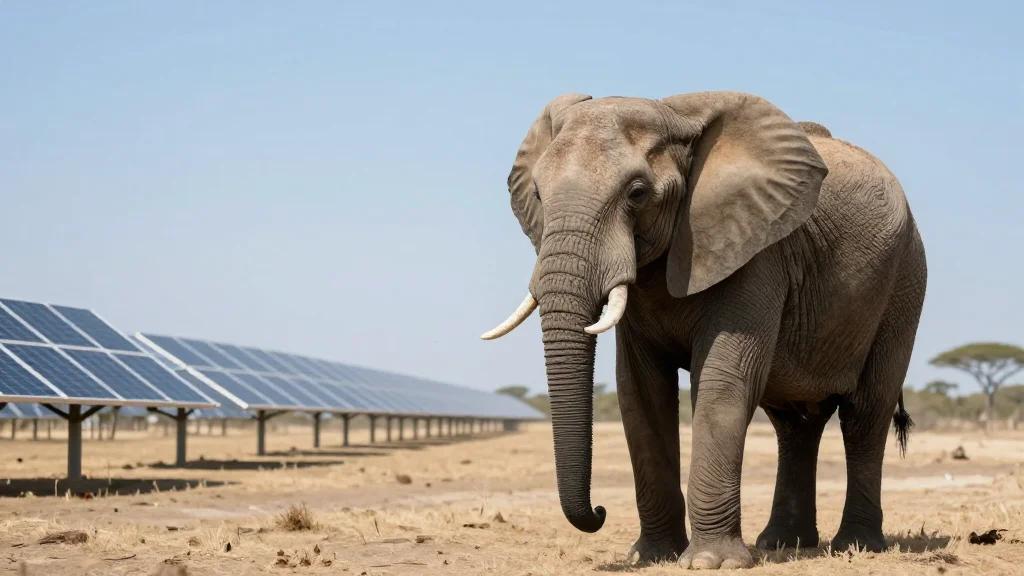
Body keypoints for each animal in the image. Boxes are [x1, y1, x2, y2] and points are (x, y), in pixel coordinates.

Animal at [482, 91, 926, 569]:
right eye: (538, 194)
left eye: (637, 193)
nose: (599, 511)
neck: (672, 113)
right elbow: (640, 393)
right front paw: (650, 557)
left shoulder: (755, 252)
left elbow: (722, 384)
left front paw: (712, 563)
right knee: (795, 424)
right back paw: (784, 544)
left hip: (904, 283)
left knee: (865, 413)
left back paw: (856, 545)